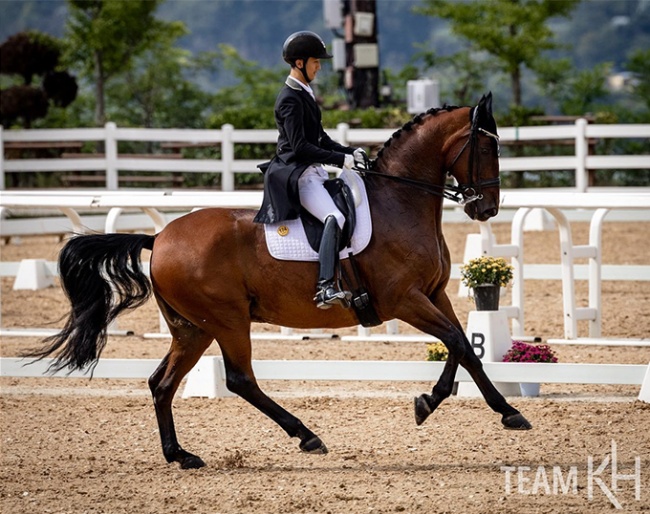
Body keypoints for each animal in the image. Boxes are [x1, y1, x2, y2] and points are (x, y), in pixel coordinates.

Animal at [27, 92, 528, 468]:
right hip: (226, 321)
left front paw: (500, 411)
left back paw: (181, 455)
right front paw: (438, 404)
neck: (399, 202)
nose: (487, 209)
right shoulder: (404, 300)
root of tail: (160, 237)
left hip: (193, 329)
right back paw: (306, 435)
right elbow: (457, 343)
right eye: (488, 148)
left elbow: (466, 347)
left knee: (161, 383)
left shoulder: (434, 294)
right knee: (239, 380)